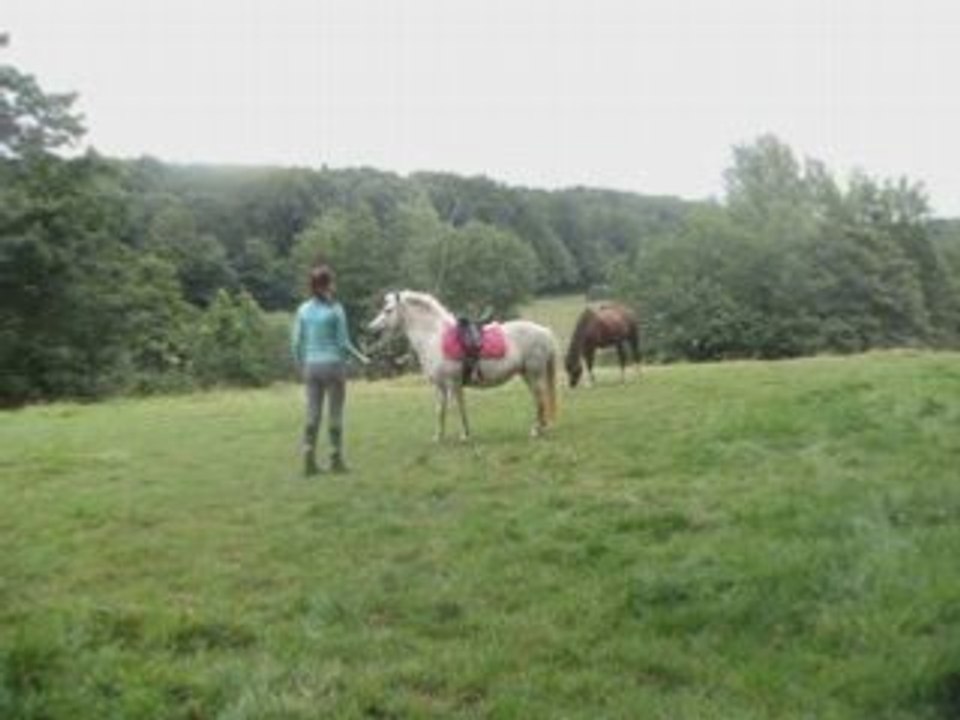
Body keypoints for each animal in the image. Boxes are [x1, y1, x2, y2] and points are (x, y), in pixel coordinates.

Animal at [368, 291, 559, 440]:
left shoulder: (452, 383)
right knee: (538, 399)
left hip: (534, 374)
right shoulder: (441, 386)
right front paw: (440, 437)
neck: (434, 338)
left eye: (388, 310)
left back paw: (536, 430)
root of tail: (545, 332)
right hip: (526, 374)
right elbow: (441, 410)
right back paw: (540, 428)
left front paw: (463, 436)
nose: (372, 329)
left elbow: (456, 408)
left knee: (540, 400)